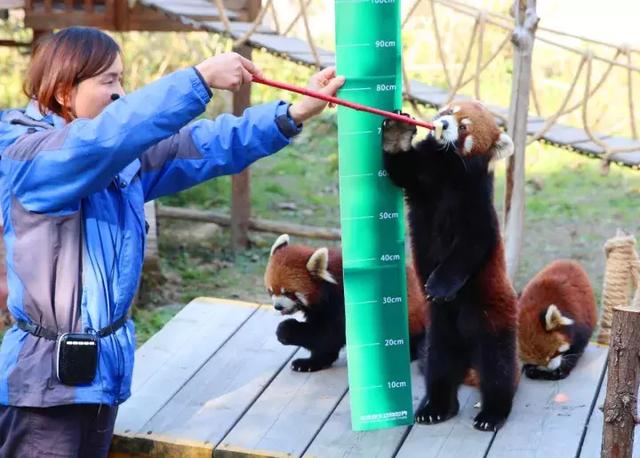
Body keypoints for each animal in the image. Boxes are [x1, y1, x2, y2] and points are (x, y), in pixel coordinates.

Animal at [264, 234, 430, 374]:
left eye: (288, 293)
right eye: (271, 291)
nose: (278, 306)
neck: (328, 288)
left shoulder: (340, 303)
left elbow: (327, 336)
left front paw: (289, 334)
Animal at [382, 98, 516, 432]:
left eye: (465, 127)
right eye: (449, 111)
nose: (441, 124)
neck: (448, 168)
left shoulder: (477, 206)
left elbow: (469, 249)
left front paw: (438, 286)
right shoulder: (423, 178)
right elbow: (400, 167)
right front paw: (397, 132)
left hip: (494, 320)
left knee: (499, 369)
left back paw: (493, 413)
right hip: (439, 334)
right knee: (439, 370)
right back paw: (436, 407)